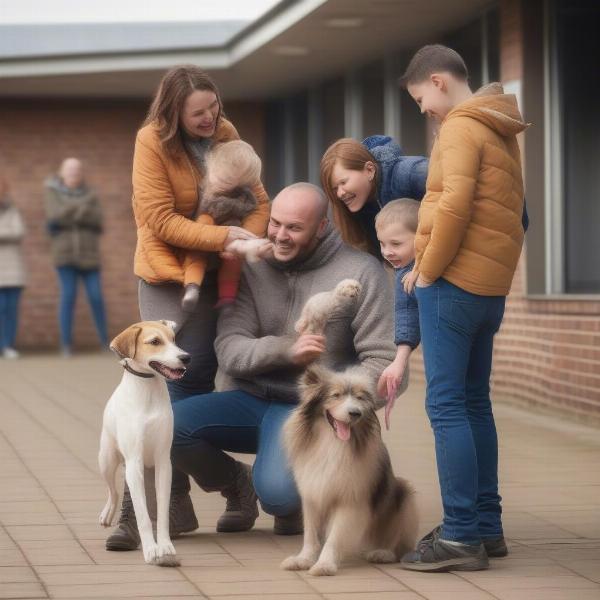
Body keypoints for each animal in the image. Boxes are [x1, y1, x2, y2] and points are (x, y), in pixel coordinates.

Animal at [98, 322, 189, 564]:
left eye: (174, 339)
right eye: (155, 341)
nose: (186, 357)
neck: (148, 391)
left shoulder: (164, 463)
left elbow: (162, 511)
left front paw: (165, 545)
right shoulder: (134, 462)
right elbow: (143, 517)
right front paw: (150, 549)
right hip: (107, 462)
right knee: (113, 491)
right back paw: (107, 514)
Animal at [282, 366, 418, 576]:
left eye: (360, 398)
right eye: (335, 395)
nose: (355, 413)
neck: (332, 441)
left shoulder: (349, 499)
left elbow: (335, 536)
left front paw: (324, 564)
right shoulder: (312, 494)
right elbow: (310, 534)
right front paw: (303, 559)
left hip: (402, 494)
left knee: (397, 538)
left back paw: (382, 552)